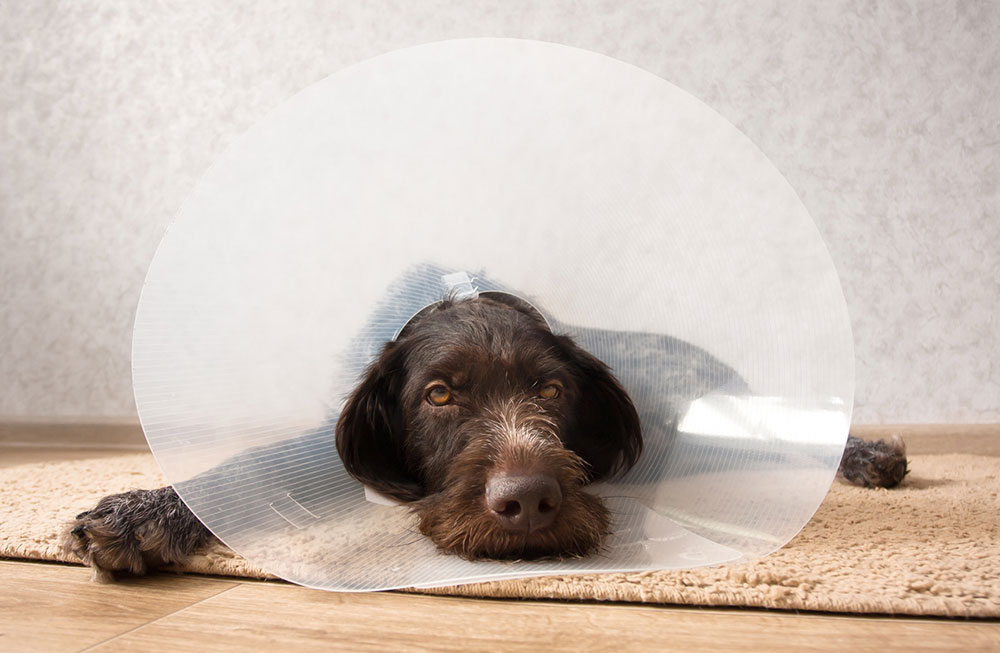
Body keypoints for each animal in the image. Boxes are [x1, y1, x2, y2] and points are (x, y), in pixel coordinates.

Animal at [62, 292, 908, 580]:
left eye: (552, 390)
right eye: (438, 394)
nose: (529, 501)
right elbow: (253, 464)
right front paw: (145, 507)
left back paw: (870, 454)